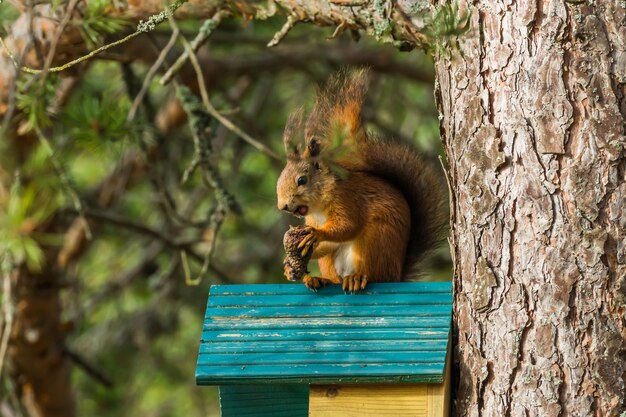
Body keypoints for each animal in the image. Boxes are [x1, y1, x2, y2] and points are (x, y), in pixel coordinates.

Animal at [276, 68, 446, 290]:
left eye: (302, 180)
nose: (283, 206)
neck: (320, 206)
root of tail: (396, 274)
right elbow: (326, 244)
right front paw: (289, 265)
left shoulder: (348, 200)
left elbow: (348, 225)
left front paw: (316, 233)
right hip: (334, 262)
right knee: (334, 275)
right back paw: (319, 279)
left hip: (377, 240)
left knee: (373, 274)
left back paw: (357, 278)